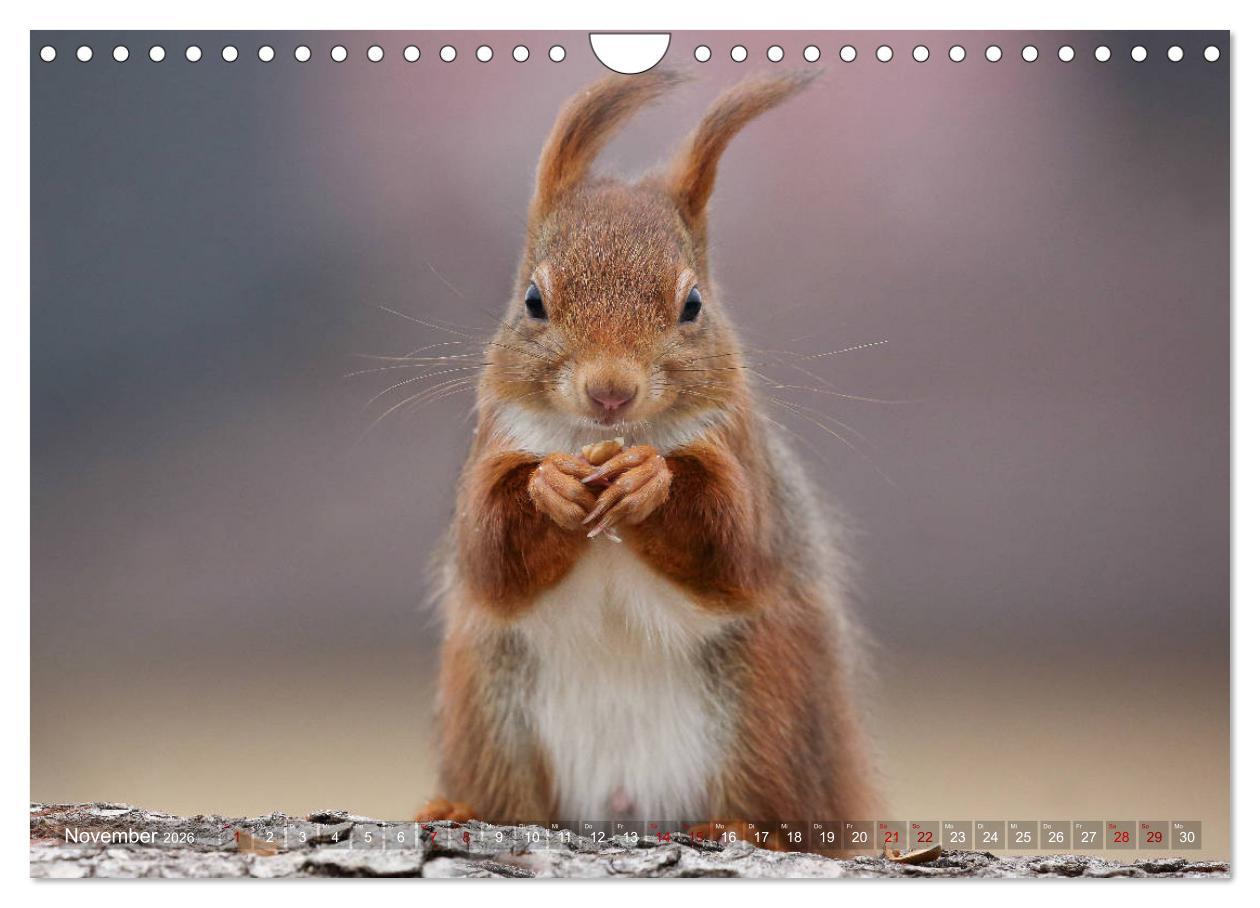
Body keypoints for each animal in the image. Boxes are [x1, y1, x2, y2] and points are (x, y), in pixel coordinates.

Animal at [421, 71, 880, 841]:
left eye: (693, 305)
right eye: (533, 300)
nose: (611, 391)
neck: (595, 439)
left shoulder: (743, 460)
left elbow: (733, 542)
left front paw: (649, 478)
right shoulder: (494, 448)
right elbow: (489, 553)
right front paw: (549, 484)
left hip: (765, 709)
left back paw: (740, 827)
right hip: (489, 704)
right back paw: (459, 806)